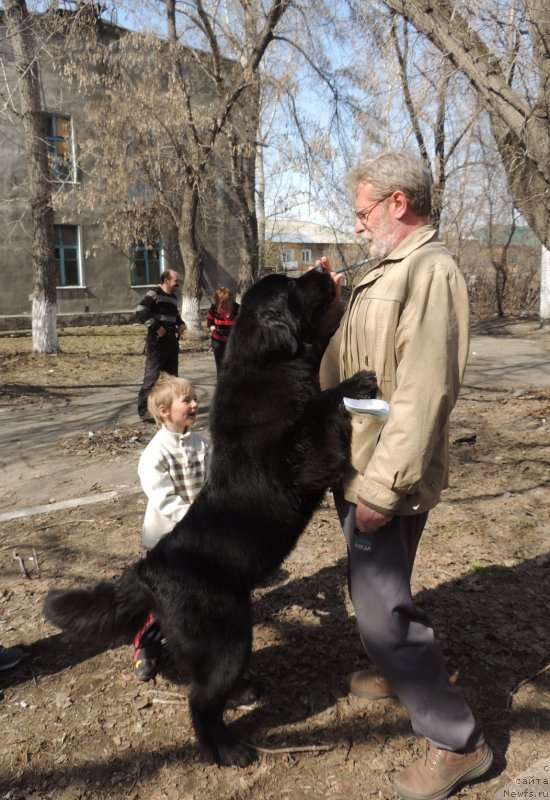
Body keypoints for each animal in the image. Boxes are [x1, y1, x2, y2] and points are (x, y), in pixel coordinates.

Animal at [43, 268, 382, 768]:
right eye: (292, 286)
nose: (322, 270)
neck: (269, 366)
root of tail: (148, 568)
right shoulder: (293, 461)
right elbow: (320, 407)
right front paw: (355, 383)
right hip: (228, 637)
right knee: (201, 700)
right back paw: (227, 749)